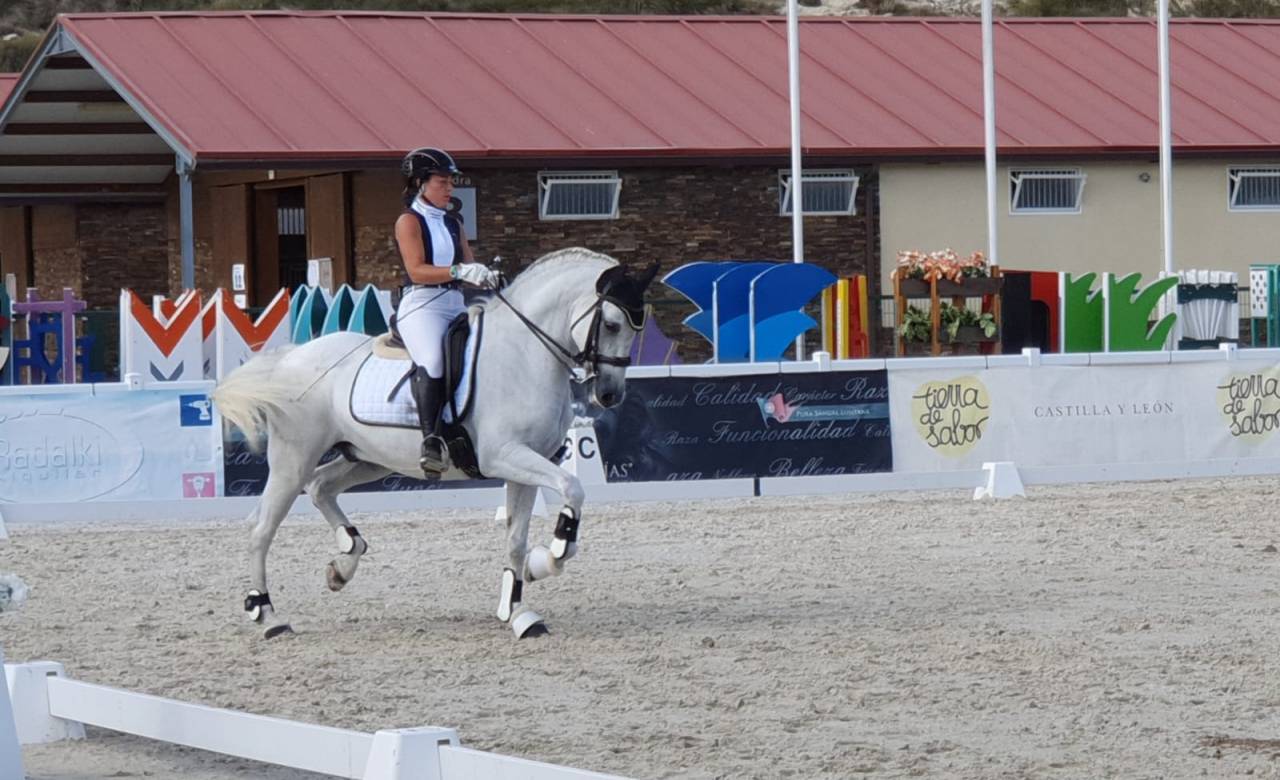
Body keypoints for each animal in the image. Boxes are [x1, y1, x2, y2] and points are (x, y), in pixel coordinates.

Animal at [212, 248, 659, 639]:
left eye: (638, 328)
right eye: (613, 324)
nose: (610, 395)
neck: (525, 353)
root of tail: (290, 359)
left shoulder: (527, 464)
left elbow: (515, 541)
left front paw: (519, 609)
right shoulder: (504, 457)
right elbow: (572, 488)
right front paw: (553, 553)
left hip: (368, 458)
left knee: (321, 486)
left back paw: (343, 563)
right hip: (293, 460)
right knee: (261, 527)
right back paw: (268, 615)